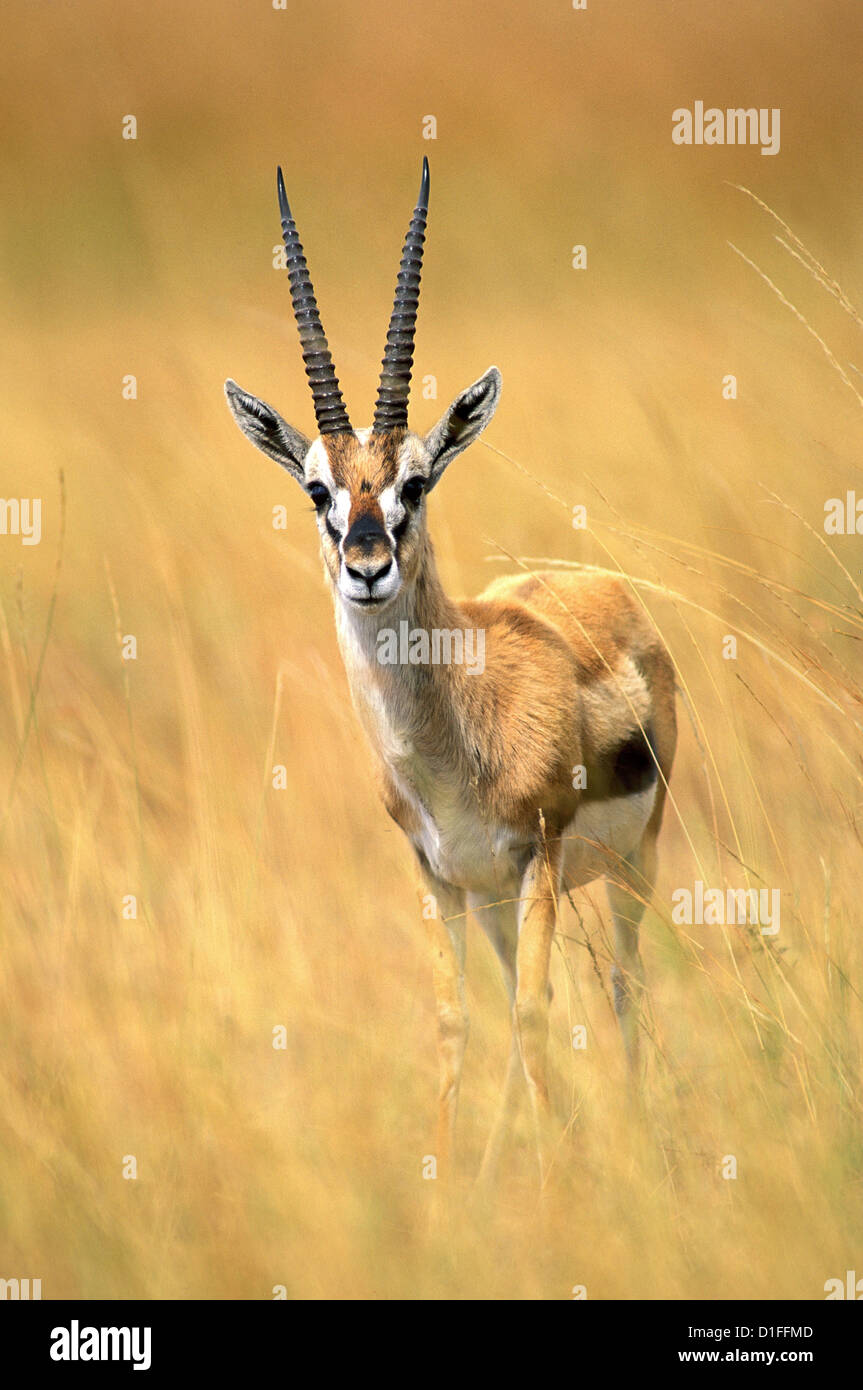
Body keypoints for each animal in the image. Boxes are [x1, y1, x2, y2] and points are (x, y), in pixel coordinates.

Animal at [225, 159, 677, 1183]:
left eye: (416, 482)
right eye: (316, 489)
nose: (367, 566)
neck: (454, 739)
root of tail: (604, 586)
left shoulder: (538, 855)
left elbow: (539, 1015)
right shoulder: (437, 874)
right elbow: (455, 1027)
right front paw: (449, 1196)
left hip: (629, 865)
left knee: (622, 989)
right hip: (496, 900)